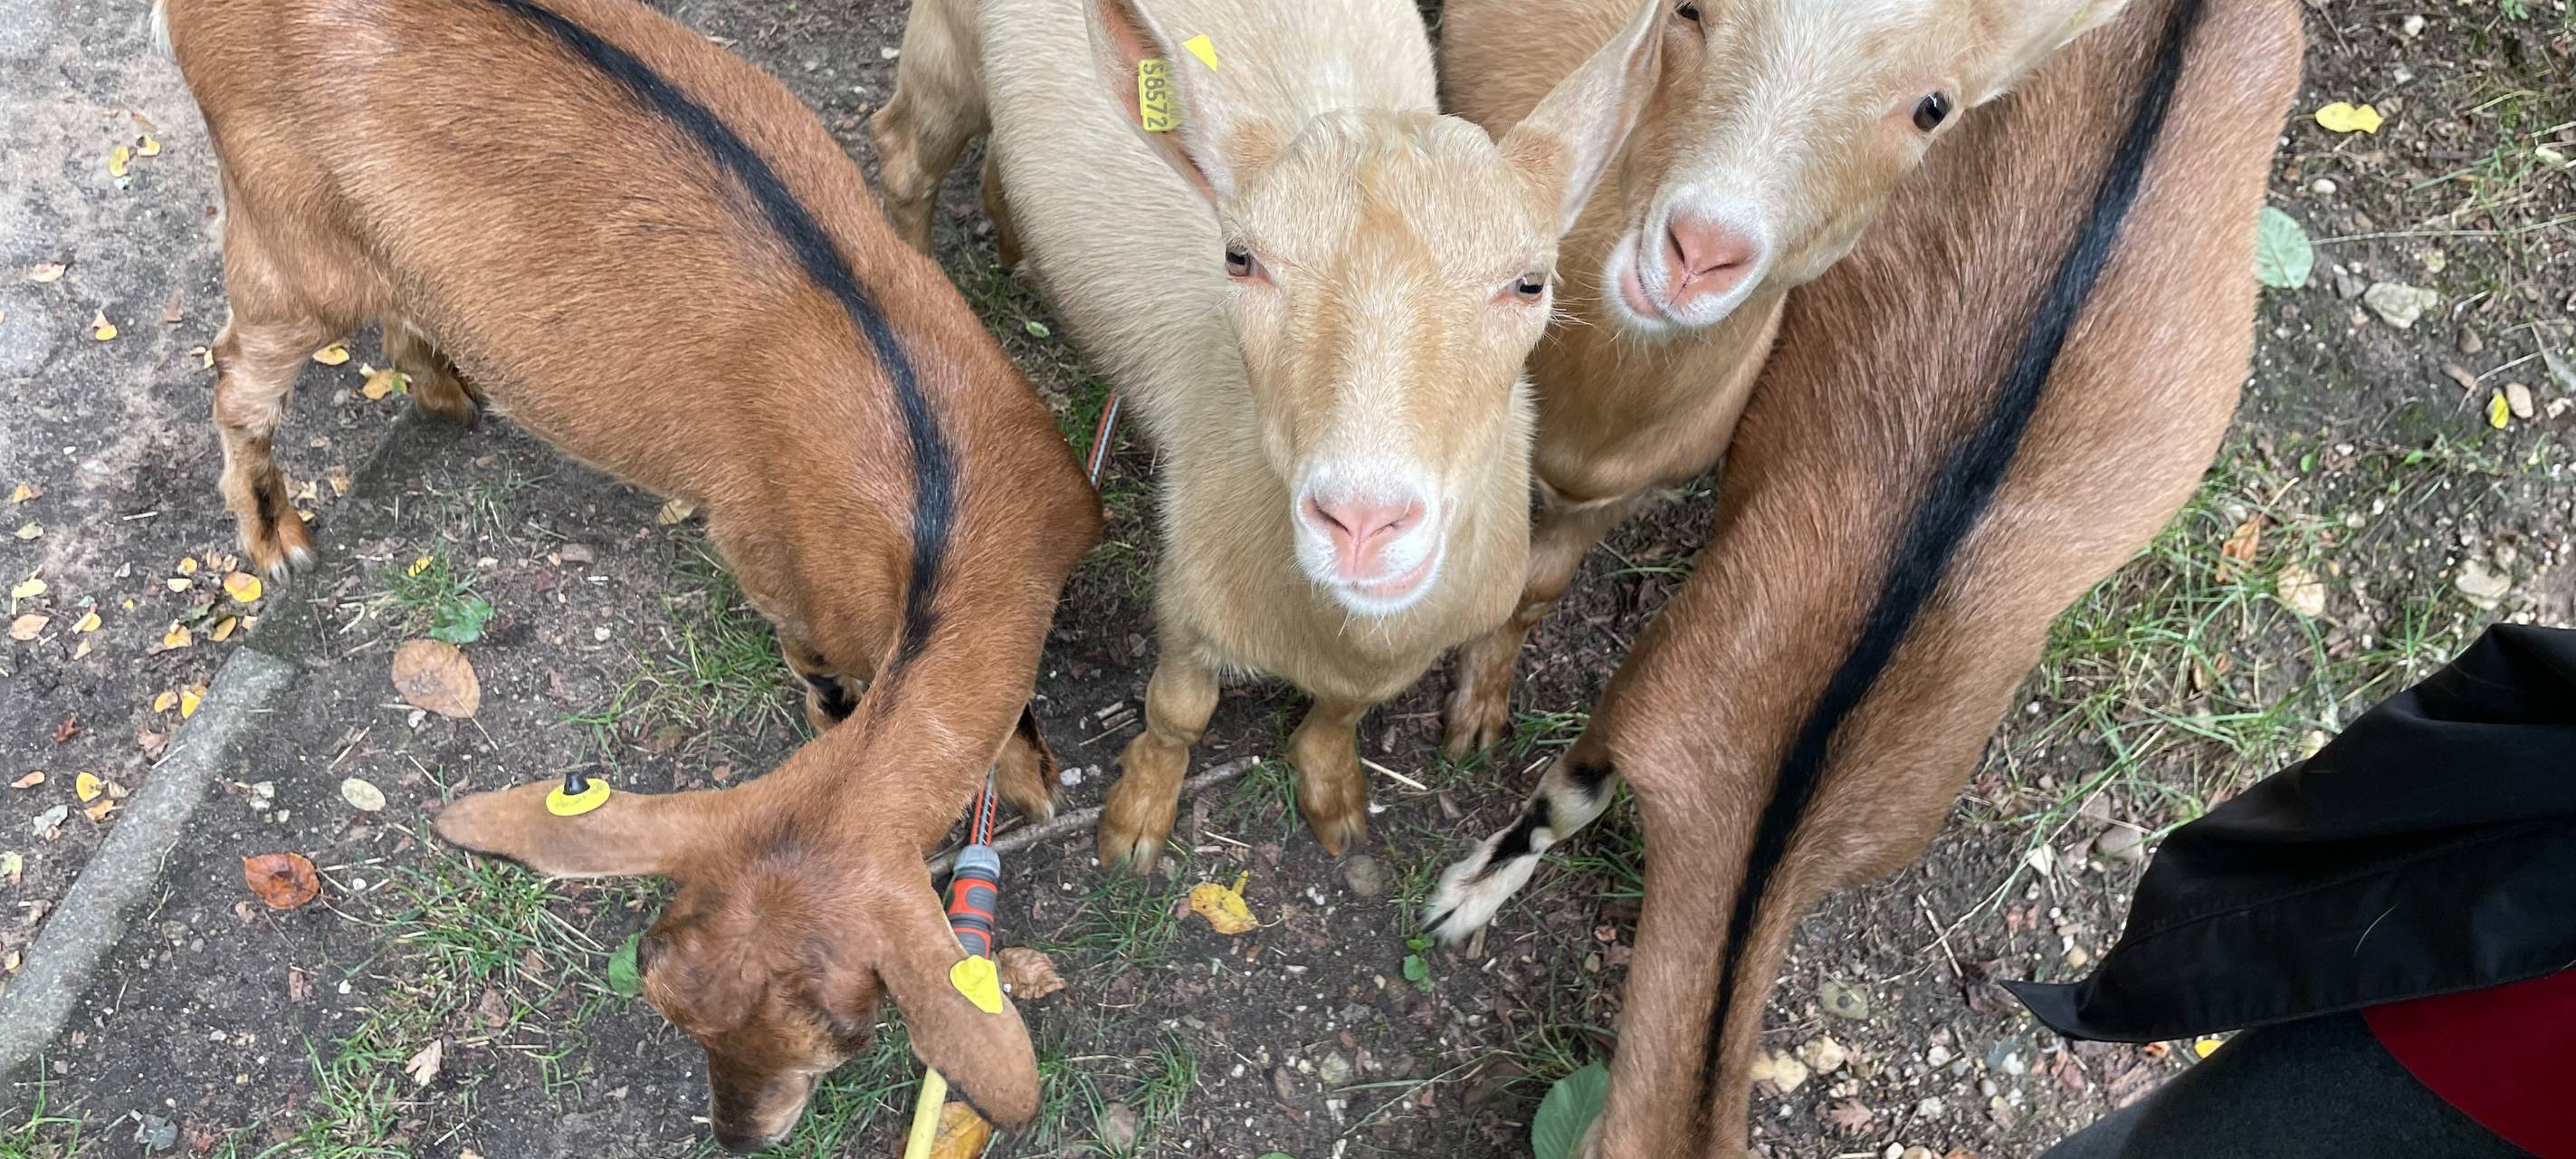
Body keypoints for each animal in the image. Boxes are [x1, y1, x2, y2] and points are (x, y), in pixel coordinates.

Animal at [158, 0, 1101, 1147]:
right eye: (656, 992)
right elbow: (820, 677)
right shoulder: (776, 568)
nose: (739, 1133)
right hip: (286, 238)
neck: (938, 512)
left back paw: (443, 387)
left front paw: (1035, 775)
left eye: (841, 1033)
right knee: (233, 370)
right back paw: (278, 539)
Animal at [872, 0, 1663, 871]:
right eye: (1240, 258)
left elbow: (1344, 714)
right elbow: (1178, 712)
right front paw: (1136, 822)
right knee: (904, 154)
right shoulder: (1190, 598)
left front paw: (1333, 793)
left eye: (1531, 282)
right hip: (945, 53)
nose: (1362, 521)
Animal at [1424, 0, 2303, 1151]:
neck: (1783, 793)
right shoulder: (1652, 692)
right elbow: (1565, 797)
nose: (1696, 256)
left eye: (1933, 106)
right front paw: (1464, 895)